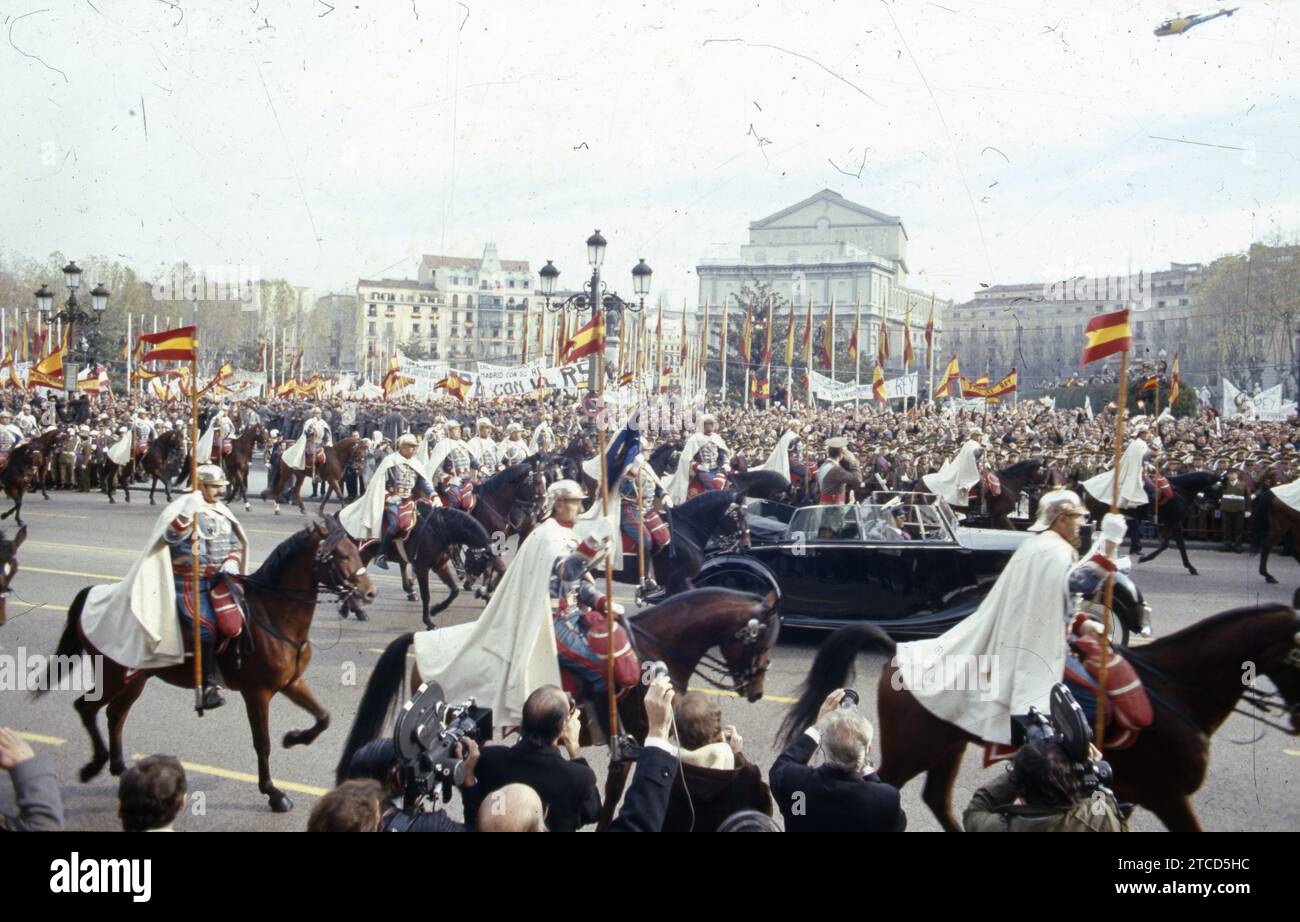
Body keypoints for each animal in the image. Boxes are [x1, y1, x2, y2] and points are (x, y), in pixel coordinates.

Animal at [39, 517, 377, 811]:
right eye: (341, 554)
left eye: (355, 549)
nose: (369, 592)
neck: (272, 613)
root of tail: (94, 595)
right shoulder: (257, 692)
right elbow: (263, 743)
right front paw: (273, 792)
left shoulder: (290, 683)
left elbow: (324, 718)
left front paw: (294, 738)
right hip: (112, 675)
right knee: (87, 708)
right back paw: (95, 764)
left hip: (135, 678)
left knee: (115, 715)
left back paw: (122, 770)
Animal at [338, 585, 780, 832]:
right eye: (761, 641)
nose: (757, 690)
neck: (652, 647)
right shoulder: (638, 735)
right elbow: (613, 795)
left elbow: (614, 791)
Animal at [774, 600, 1294, 832]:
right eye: (1298, 653)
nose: (1298, 717)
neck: (1175, 690)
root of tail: (898, 650)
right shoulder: (1167, 796)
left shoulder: (1133, 793)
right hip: (913, 749)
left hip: (947, 746)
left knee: (936, 798)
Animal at [1081, 470, 1222, 572]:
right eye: (1218, 489)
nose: (1212, 507)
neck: (1180, 490)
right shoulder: (1175, 523)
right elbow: (1180, 545)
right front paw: (1191, 567)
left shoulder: (1170, 523)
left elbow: (1166, 545)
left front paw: (1146, 558)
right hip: (1098, 514)